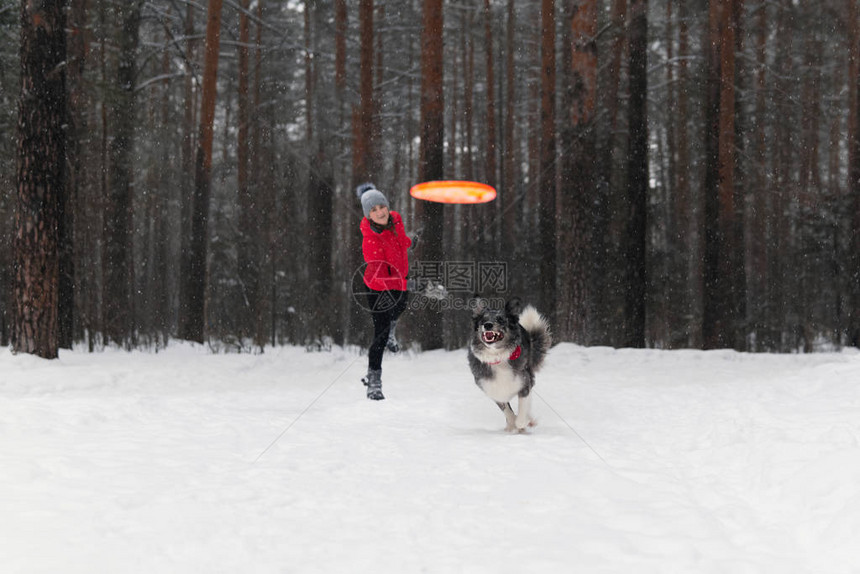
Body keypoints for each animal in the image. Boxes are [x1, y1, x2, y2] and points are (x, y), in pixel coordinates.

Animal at [470, 300, 552, 434]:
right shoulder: (493, 389)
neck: (498, 356)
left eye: (500, 319)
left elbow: (523, 408)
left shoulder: (524, 383)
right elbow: (507, 411)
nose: (487, 325)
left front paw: (522, 423)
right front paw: (511, 425)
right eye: (483, 319)